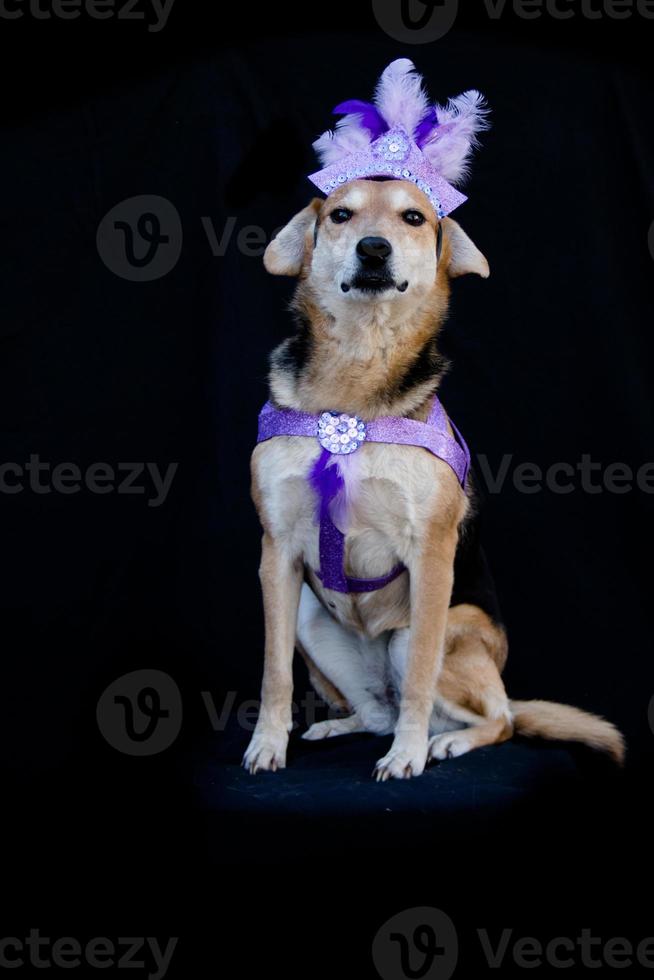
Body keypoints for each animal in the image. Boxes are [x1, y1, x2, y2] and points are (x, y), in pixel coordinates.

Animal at [243, 178, 628, 780]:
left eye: (414, 218)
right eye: (341, 215)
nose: (374, 249)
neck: (356, 384)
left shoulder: (430, 552)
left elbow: (422, 673)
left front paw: (408, 754)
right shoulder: (277, 552)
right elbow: (274, 671)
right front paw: (267, 743)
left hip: (438, 633)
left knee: (499, 718)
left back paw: (441, 742)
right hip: (309, 617)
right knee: (378, 710)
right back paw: (338, 725)